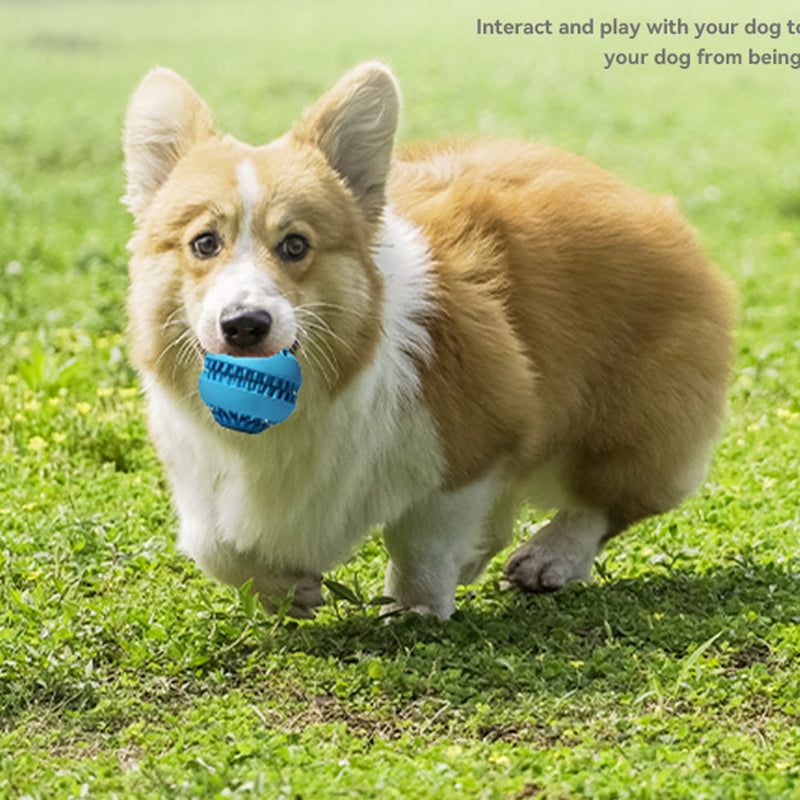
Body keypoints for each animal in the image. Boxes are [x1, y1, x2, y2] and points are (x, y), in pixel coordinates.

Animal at [123, 62, 732, 620]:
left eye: (295, 245)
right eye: (204, 243)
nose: (245, 324)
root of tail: (651, 204)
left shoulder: (469, 443)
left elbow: (422, 541)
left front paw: (413, 608)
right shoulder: (201, 471)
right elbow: (213, 546)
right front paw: (286, 589)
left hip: (624, 417)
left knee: (607, 501)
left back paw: (548, 558)